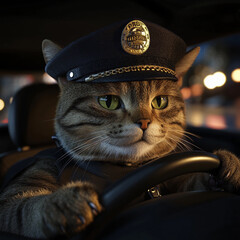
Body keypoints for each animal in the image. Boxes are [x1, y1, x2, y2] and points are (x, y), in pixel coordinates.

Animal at [0, 38, 240, 239]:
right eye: (108, 101)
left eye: (160, 101)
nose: (144, 122)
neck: (124, 169)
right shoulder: (27, 182)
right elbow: (26, 207)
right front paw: (62, 202)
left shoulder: (174, 182)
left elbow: (194, 181)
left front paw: (230, 165)